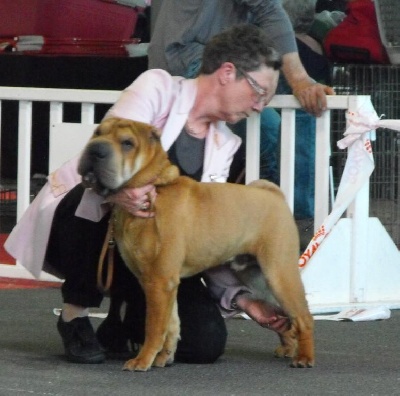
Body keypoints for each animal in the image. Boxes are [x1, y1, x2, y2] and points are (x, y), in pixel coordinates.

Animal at [78, 117, 314, 372]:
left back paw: (304, 357)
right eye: (97, 133)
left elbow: (154, 327)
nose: (95, 149)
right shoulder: (162, 284)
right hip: (261, 280)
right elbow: (171, 324)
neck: (155, 188)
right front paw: (164, 358)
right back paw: (288, 347)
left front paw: (143, 359)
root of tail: (275, 196)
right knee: (286, 315)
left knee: (304, 317)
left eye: (127, 143)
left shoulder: (159, 281)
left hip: (279, 274)